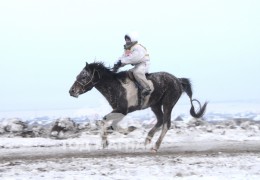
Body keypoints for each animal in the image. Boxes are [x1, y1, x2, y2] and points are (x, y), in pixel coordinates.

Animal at [69, 61, 207, 151]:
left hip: (168, 103)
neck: (115, 86)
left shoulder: (122, 110)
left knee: (166, 124)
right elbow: (106, 123)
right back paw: (148, 139)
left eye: (84, 76)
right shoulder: (118, 111)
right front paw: (105, 141)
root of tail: (178, 80)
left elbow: (107, 123)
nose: (71, 91)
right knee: (160, 120)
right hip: (155, 105)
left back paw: (155, 146)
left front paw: (127, 130)